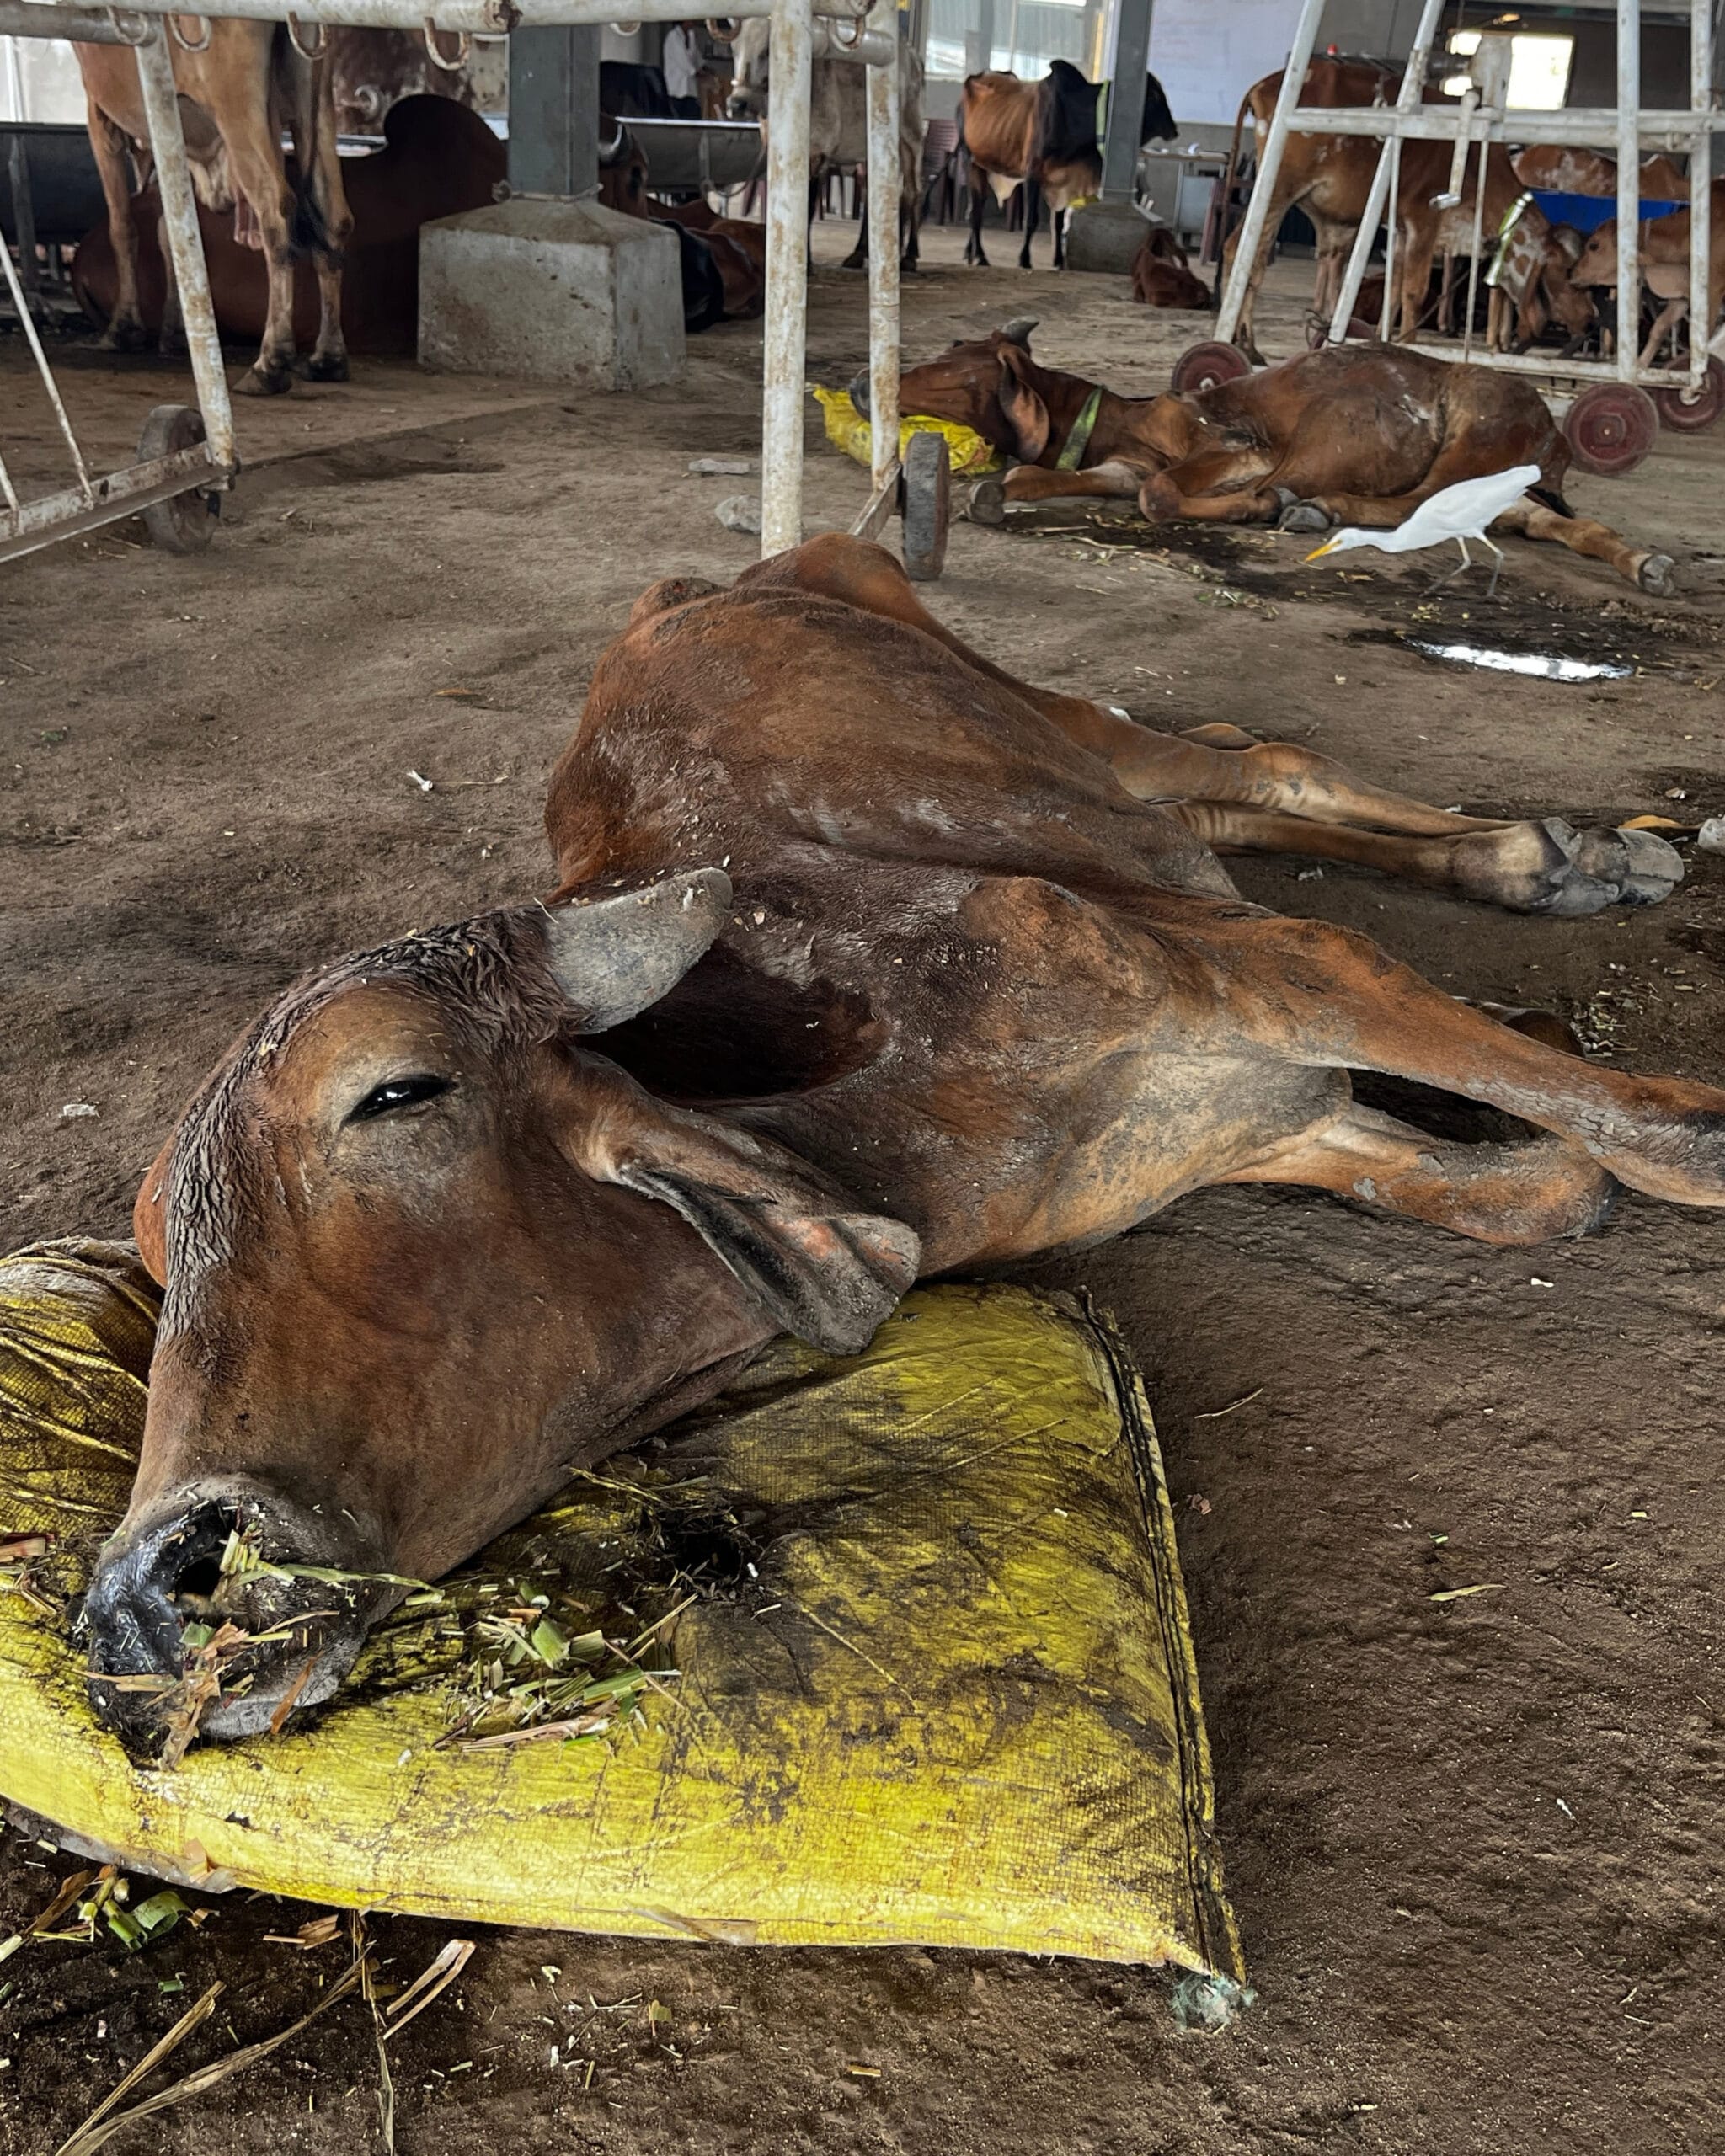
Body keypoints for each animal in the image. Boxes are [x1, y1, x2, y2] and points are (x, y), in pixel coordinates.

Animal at [74, 24, 351, 395]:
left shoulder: (101, 113)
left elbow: (124, 226)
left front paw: (124, 327)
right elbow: (175, 231)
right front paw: (178, 329)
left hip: (237, 108)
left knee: (276, 211)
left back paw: (270, 363)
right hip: (319, 107)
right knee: (333, 217)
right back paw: (328, 358)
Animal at [83, 530, 1710, 1747]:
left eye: (394, 1095)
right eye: (162, 1258)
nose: (152, 1594)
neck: (891, 1108)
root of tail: (709, 586)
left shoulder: (1248, 971)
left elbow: (1629, 1131)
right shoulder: (1255, 1122)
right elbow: (1544, 1191)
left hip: (1051, 718)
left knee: (1254, 758)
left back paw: (1572, 853)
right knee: (1233, 790)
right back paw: (1545, 857)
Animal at [725, 18, 925, 271]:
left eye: (768, 49)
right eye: (734, 48)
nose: (737, 104)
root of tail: (914, 56)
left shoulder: (817, 154)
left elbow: (808, 205)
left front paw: (806, 263)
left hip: (911, 140)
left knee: (912, 191)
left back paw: (908, 255)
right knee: (873, 193)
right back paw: (860, 253)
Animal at [850, 324, 1675, 595]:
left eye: (957, 361)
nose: (865, 382)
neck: (1123, 421)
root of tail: (1555, 434)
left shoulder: (1236, 450)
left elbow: (1160, 495)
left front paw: (1261, 506)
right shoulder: (1116, 465)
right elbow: (1034, 473)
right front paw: (994, 493)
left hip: (1465, 436)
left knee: (1409, 504)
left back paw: (1310, 508)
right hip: (1509, 495)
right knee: (1565, 526)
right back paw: (1648, 566)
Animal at [1569, 179, 1725, 368]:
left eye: (1594, 245)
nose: (1572, 272)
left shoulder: (1712, 293)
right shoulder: (1680, 297)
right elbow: (1659, 327)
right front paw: (1641, 364)